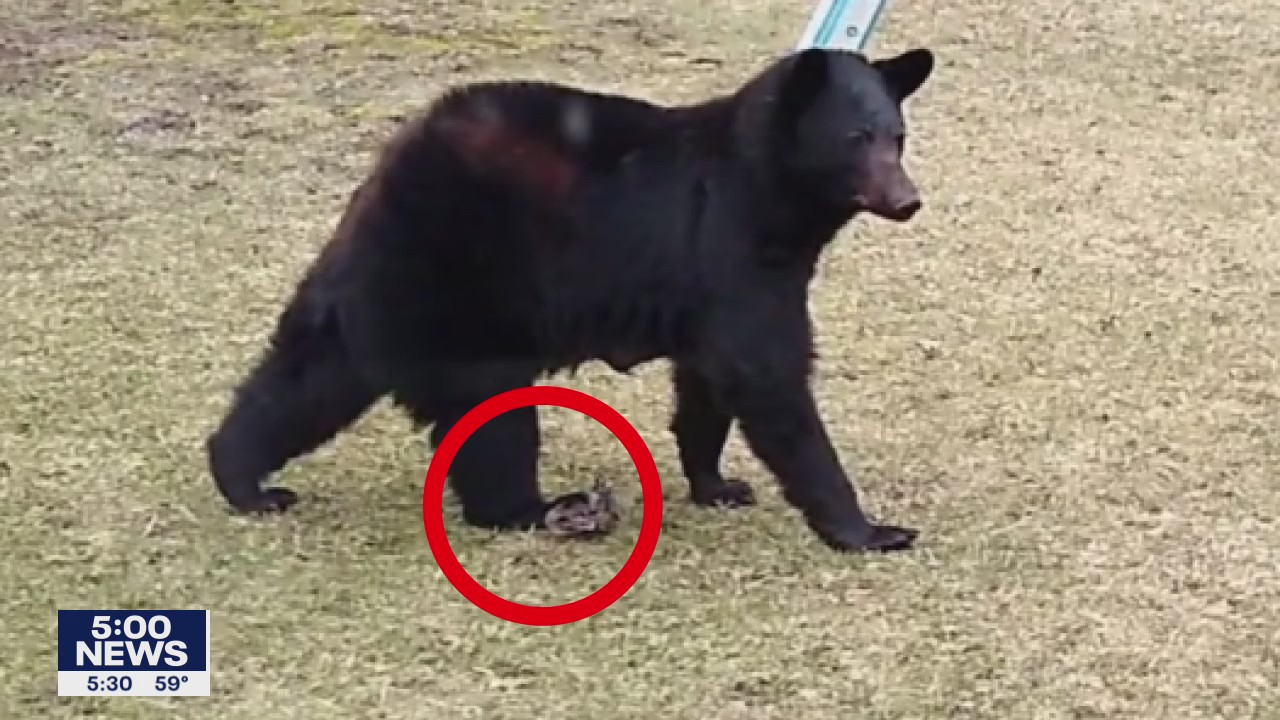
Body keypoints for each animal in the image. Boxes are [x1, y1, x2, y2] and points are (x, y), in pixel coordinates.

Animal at [205, 46, 936, 553]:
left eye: (898, 136)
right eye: (856, 139)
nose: (907, 200)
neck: (773, 194)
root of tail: (393, 168)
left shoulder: (710, 283)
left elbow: (707, 381)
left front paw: (716, 485)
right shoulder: (734, 247)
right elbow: (767, 377)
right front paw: (868, 528)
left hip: (378, 285)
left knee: (307, 377)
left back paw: (244, 481)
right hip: (466, 291)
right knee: (490, 419)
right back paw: (542, 509)